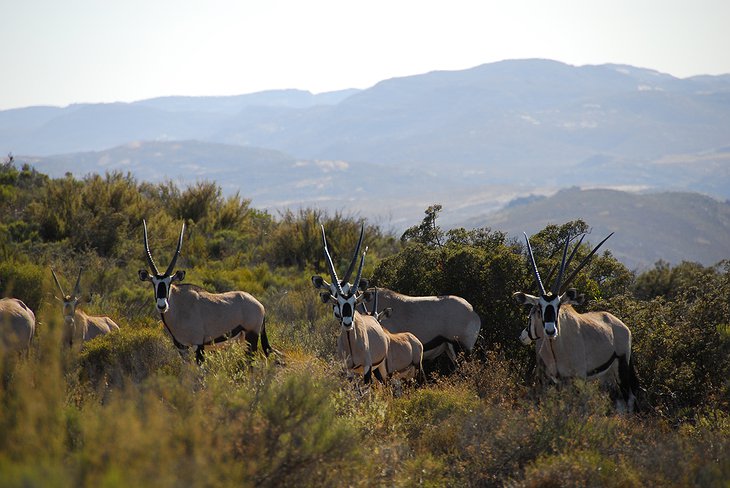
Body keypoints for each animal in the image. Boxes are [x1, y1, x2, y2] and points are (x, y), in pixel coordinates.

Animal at [138, 221, 272, 362]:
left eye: (169, 283)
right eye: (154, 283)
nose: (162, 305)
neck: (179, 306)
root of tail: (259, 305)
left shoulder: (198, 345)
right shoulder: (181, 347)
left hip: (251, 336)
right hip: (243, 339)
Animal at [312, 226, 420, 386]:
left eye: (354, 302)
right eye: (335, 299)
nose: (347, 322)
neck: (351, 341)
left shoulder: (367, 367)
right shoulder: (348, 370)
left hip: (381, 368)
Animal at [512, 233, 636, 412]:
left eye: (558, 306)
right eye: (539, 308)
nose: (550, 331)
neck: (557, 348)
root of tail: (621, 325)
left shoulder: (577, 379)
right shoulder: (553, 380)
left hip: (622, 369)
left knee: (629, 399)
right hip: (607, 375)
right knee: (619, 403)